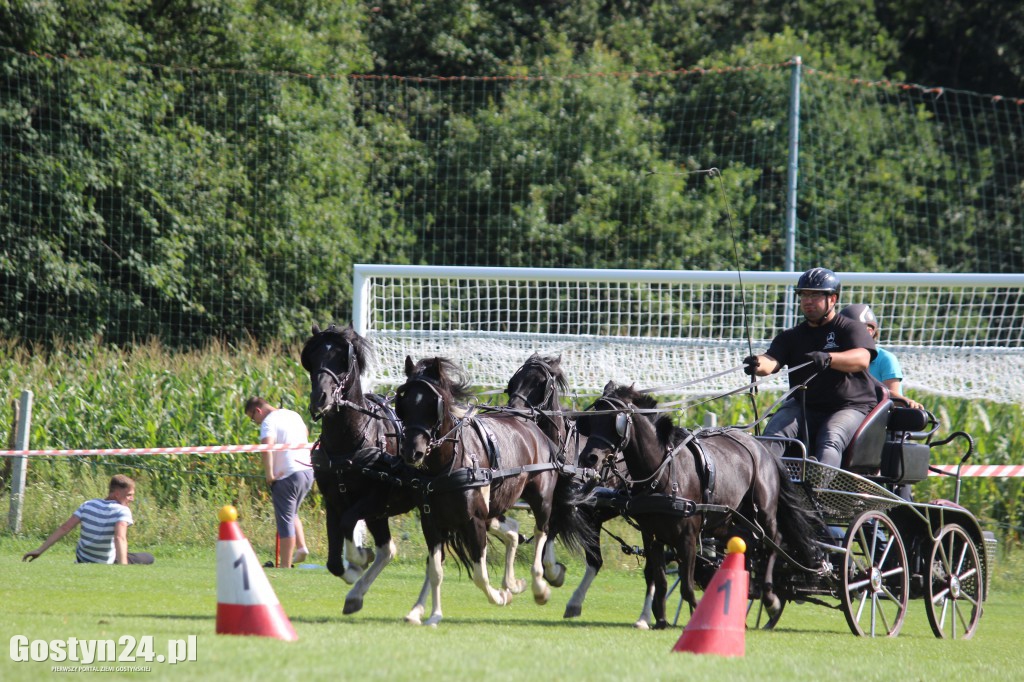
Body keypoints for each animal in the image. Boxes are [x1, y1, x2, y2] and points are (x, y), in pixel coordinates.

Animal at [395, 356, 598, 626]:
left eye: (432, 404)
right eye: (403, 403)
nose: (412, 451)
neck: (449, 462)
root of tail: (531, 423)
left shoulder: (473, 520)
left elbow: (479, 575)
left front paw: (501, 596)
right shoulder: (432, 522)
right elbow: (435, 570)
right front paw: (433, 614)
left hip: (540, 499)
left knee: (542, 532)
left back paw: (539, 586)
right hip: (493, 506)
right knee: (513, 531)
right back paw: (514, 582)